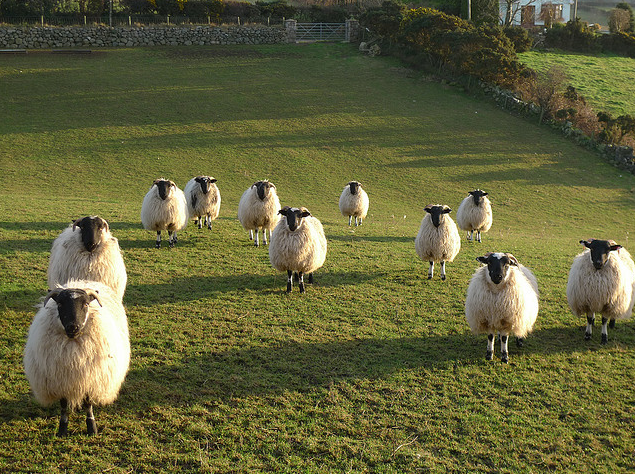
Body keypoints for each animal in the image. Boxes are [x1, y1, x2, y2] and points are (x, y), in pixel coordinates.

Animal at [23, 280, 130, 436]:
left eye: (85, 304)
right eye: (60, 304)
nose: (73, 327)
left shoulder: (89, 378)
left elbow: (87, 403)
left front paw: (92, 427)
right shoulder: (61, 380)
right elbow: (63, 404)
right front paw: (62, 428)